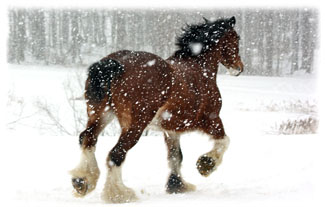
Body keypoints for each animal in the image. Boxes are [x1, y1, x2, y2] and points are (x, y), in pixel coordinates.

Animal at [71, 15, 243, 202]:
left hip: (100, 114)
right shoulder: (210, 119)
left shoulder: (171, 129)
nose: (239, 68)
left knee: (87, 138)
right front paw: (206, 164)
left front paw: (177, 185)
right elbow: (224, 141)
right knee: (116, 153)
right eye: (236, 39)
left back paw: (82, 181)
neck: (200, 69)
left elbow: (176, 156)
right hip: (135, 124)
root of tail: (114, 65)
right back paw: (119, 194)